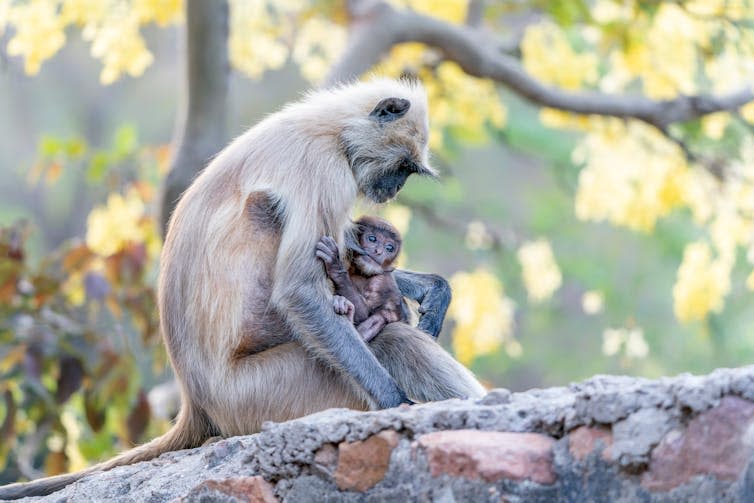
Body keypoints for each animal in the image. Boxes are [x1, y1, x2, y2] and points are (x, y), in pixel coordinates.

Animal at [0, 79, 482, 500]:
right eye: (402, 168)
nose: (395, 188)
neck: (331, 127)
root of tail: (196, 402)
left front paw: (430, 290)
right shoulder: (324, 169)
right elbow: (300, 290)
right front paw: (396, 401)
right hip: (265, 394)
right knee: (390, 340)